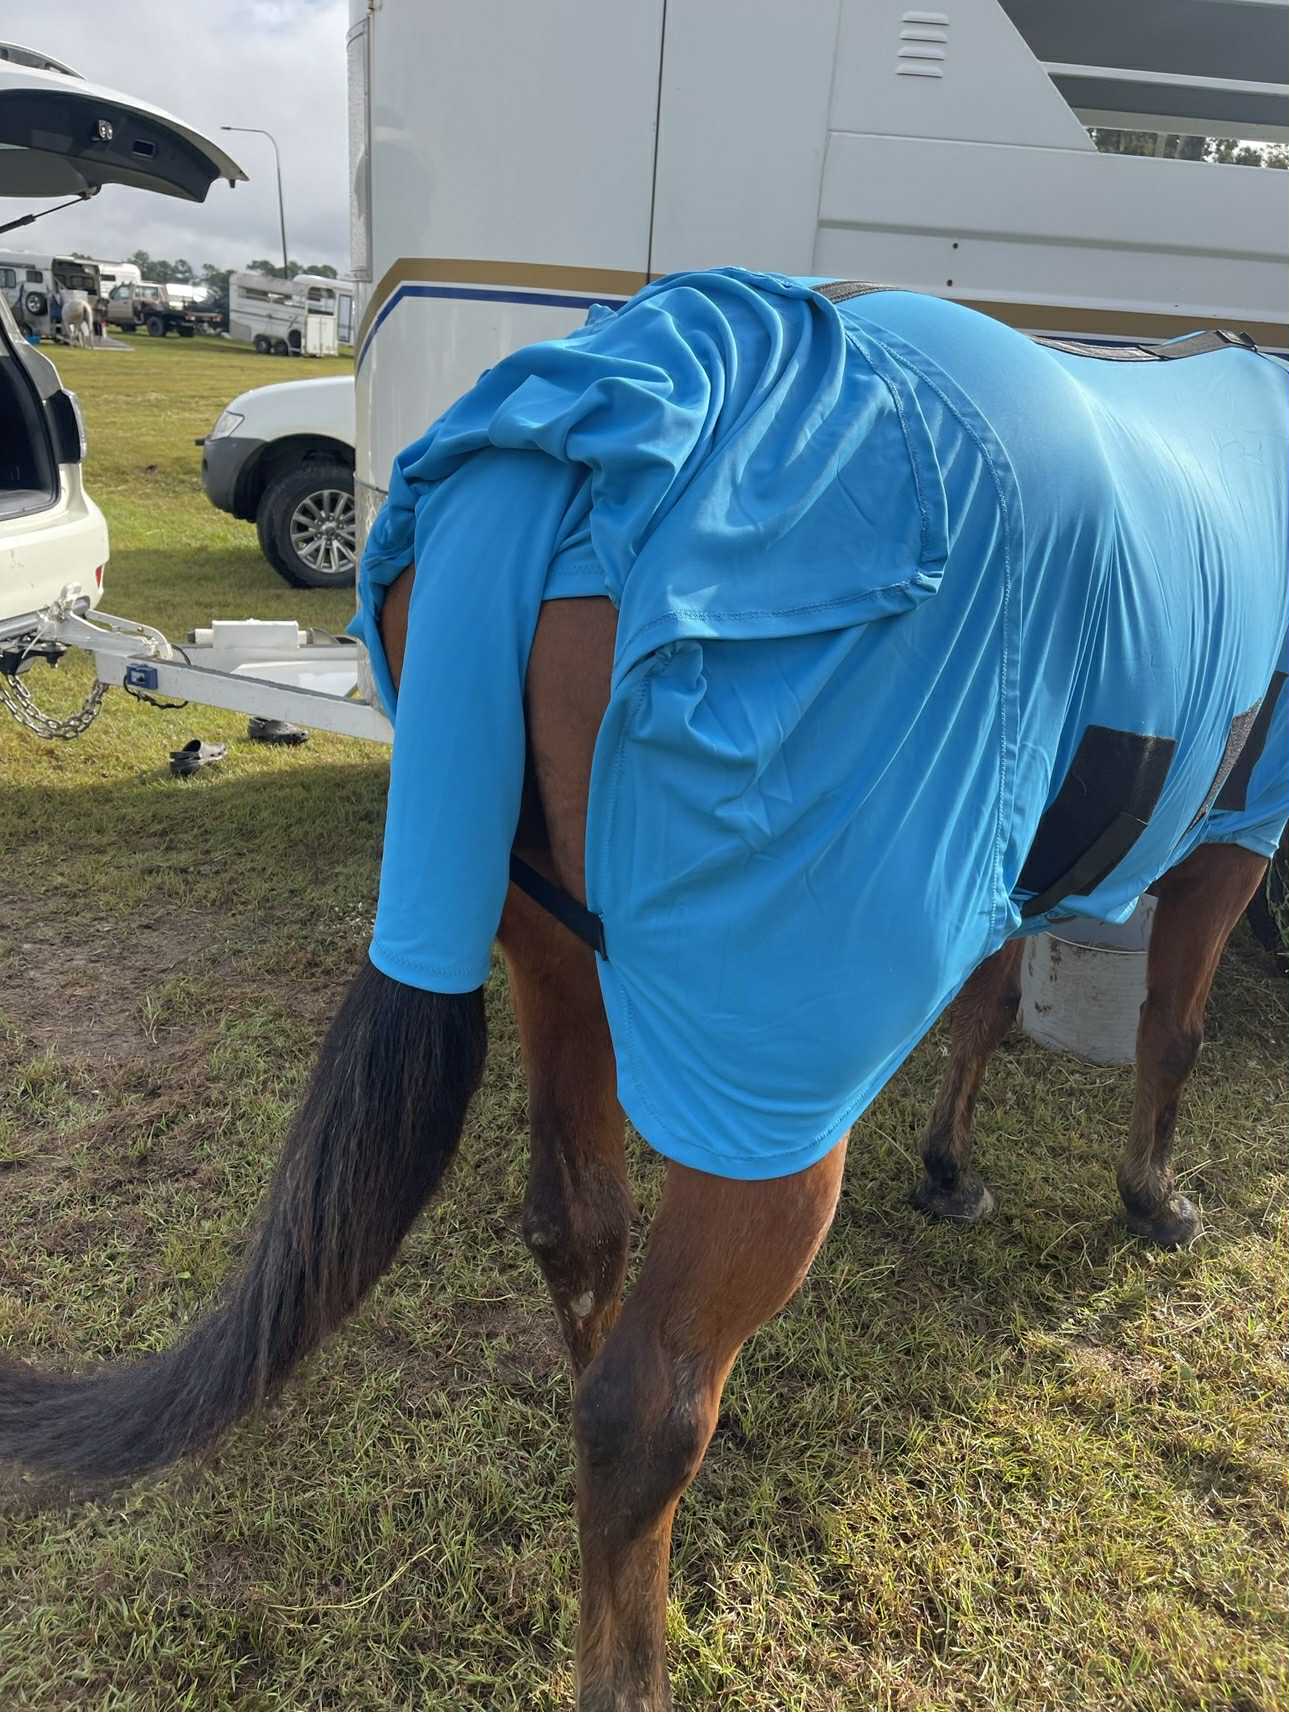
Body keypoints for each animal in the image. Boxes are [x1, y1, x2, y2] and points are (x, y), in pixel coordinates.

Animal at [1, 271, 1285, 1710]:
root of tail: (579, 432)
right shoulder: (1235, 833)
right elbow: (1169, 1033)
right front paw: (1151, 1198)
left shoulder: (1015, 862)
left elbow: (987, 1012)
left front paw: (952, 1170)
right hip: (769, 1090)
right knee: (643, 1407)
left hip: (558, 964)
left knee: (580, 1241)